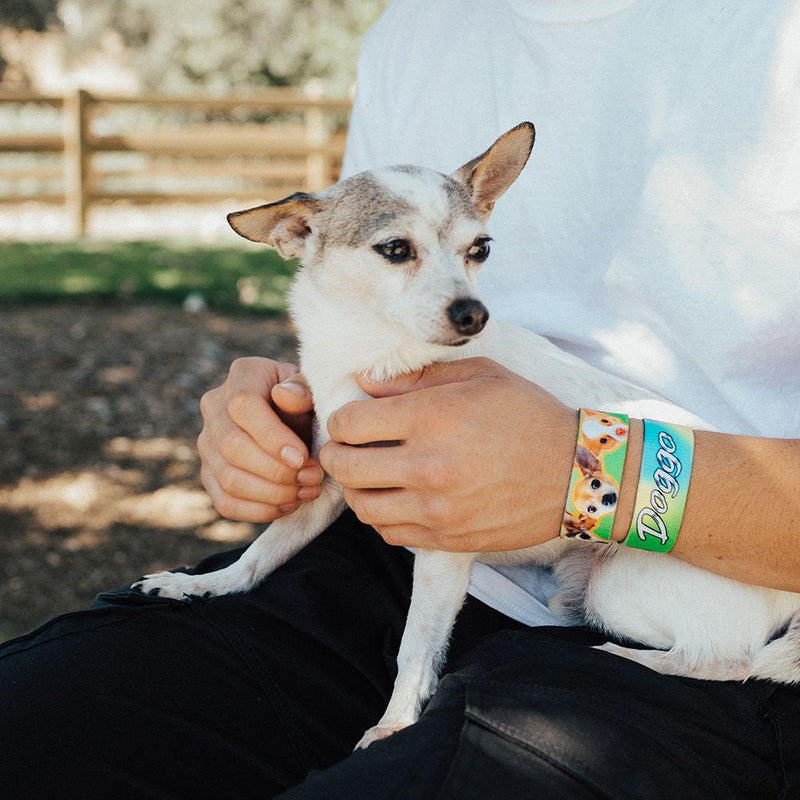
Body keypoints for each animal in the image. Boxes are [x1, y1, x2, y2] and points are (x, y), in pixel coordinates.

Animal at [133, 123, 800, 752]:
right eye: (395, 249)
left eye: (479, 249)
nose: (473, 312)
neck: (373, 356)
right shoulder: (325, 488)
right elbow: (261, 553)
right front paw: (202, 586)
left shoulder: (441, 548)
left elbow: (416, 646)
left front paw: (395, 722)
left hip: (622, 588)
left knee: (730, 661)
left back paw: (629, 658)